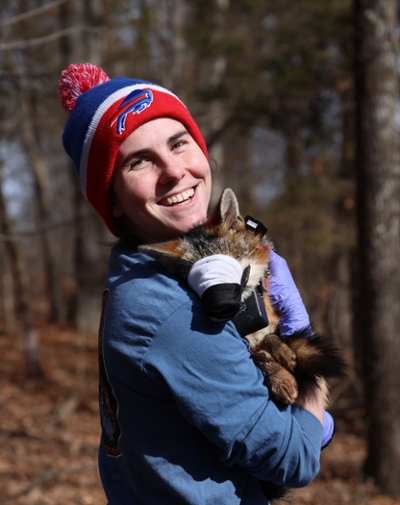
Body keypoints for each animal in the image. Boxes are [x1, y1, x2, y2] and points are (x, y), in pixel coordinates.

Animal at [138, 188, 346, 500]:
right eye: (197, 277)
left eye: (230, 261)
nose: (222, 305)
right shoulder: (248, 347)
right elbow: (259, 357)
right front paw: (280, 377)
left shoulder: (275, 324)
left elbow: (274, 338)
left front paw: (282, 353)